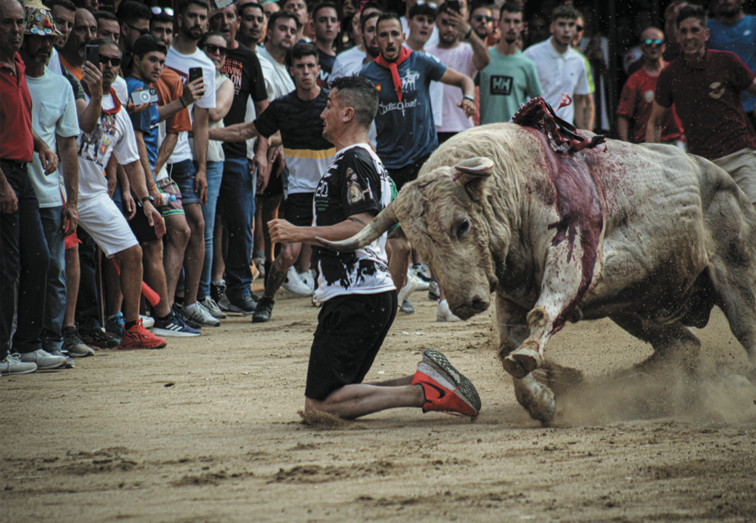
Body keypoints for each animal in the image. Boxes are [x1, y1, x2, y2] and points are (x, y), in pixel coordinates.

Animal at [318, 102, 756, 426]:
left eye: (462, 225)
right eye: (420, 246)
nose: (463, 304)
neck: (514, 188)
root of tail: (726, 181)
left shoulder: (573, 256)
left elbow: (540, 318)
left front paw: (537, 363)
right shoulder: (512, 294)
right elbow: (506, 353)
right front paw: (547, 397)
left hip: (735, 276)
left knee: (743, 329)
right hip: (636, 308)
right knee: (683, 345)